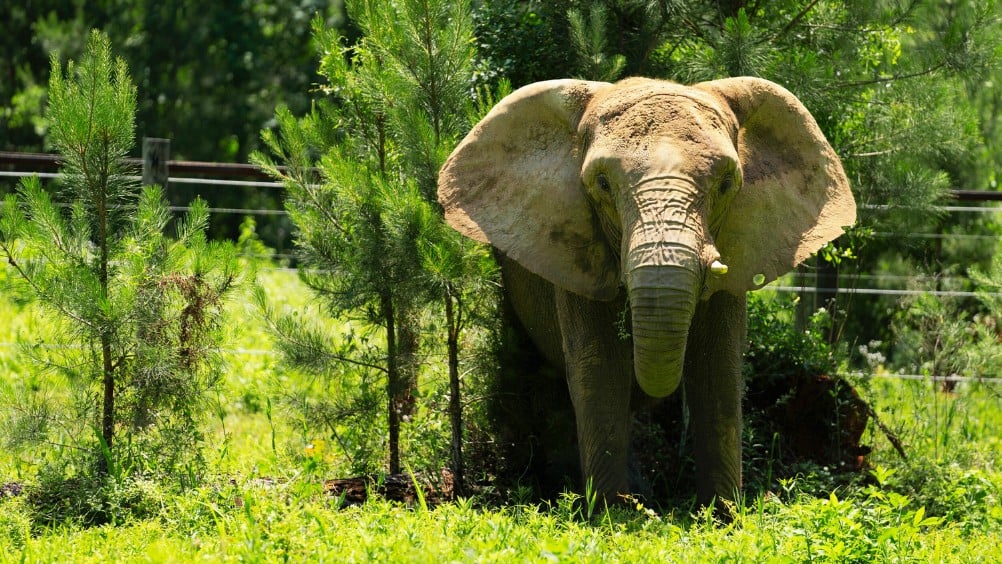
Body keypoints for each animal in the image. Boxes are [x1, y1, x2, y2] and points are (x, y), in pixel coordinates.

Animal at [434, 76, 857, 506]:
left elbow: (718, 367)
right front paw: (614, 512)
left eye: (726, 184)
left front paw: (720, 512)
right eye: (603, 183)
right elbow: (599, 366)